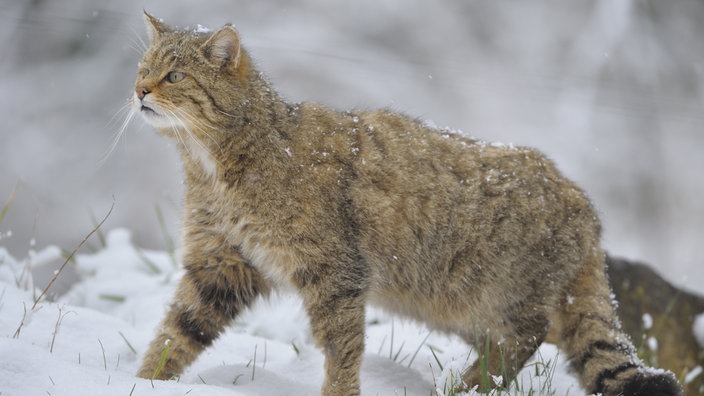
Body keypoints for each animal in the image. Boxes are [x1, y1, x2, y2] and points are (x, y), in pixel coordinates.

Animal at [132, 12, 680, 396]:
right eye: (144, 68)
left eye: (175, 76)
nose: (138, 90)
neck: (213, 165)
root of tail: (583, 201)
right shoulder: (219, 264)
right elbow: (175, 334)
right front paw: (143, 382)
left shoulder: (335, 273)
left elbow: (342, 348)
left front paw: (339, 391)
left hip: (491, 296)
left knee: (527, 337)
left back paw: (465, 387)